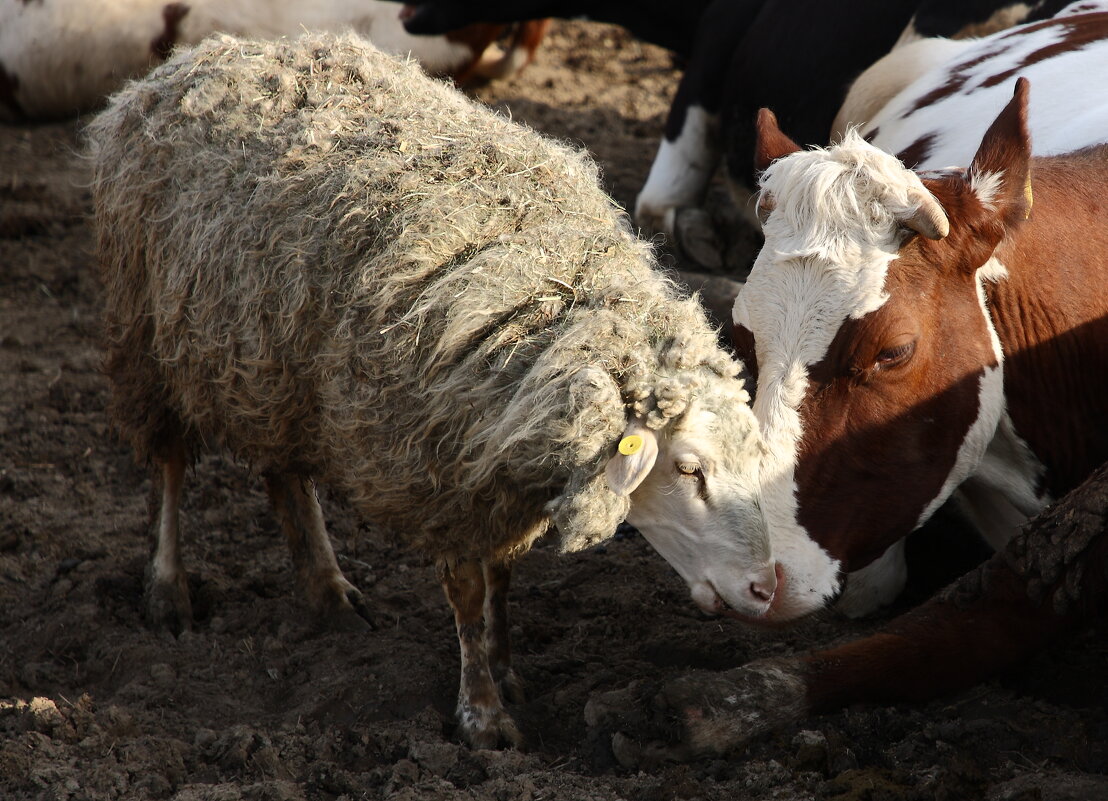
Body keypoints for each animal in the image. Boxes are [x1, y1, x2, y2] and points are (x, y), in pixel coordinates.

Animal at [84, 29, 771, 744]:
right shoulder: (441, 471)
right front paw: (482, 713)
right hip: (146, 329)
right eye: (688, 469)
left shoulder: (494, 463)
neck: (556, 315)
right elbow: (468, 590)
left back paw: (327, 590)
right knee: (168, 463)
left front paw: (505, 668)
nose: (765, 591)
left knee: (284, 472)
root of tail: (203, 55)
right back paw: (169, 591)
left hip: (273, 363)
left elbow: (502, 575)